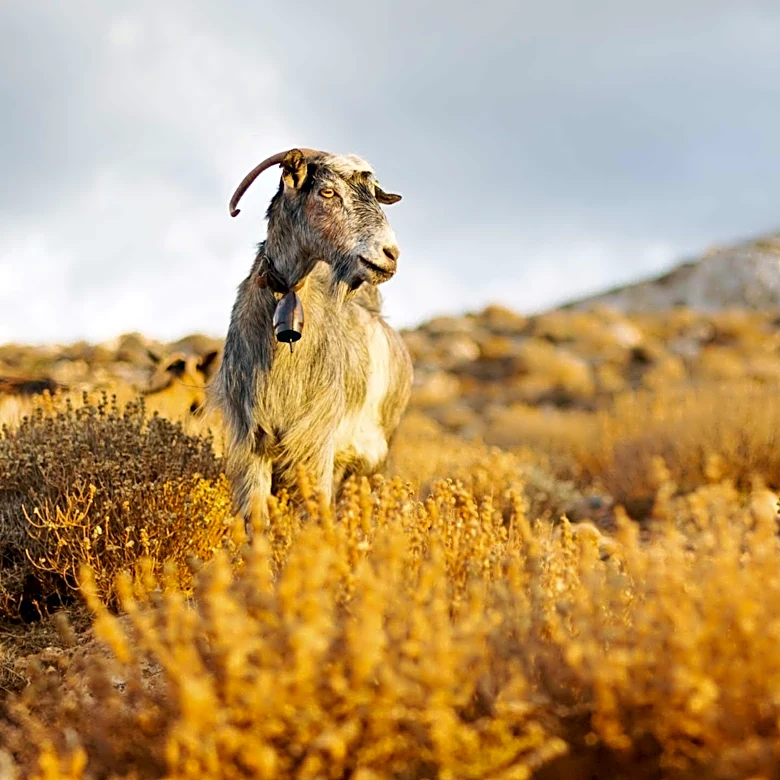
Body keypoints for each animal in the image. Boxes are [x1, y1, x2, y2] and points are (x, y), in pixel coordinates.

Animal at [208, 147, 413, 534]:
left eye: (372, 195)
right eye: (327, 192)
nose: (390, 254)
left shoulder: (316, 443)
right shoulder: (251, 442)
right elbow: (256, 520)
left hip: (372, 460)